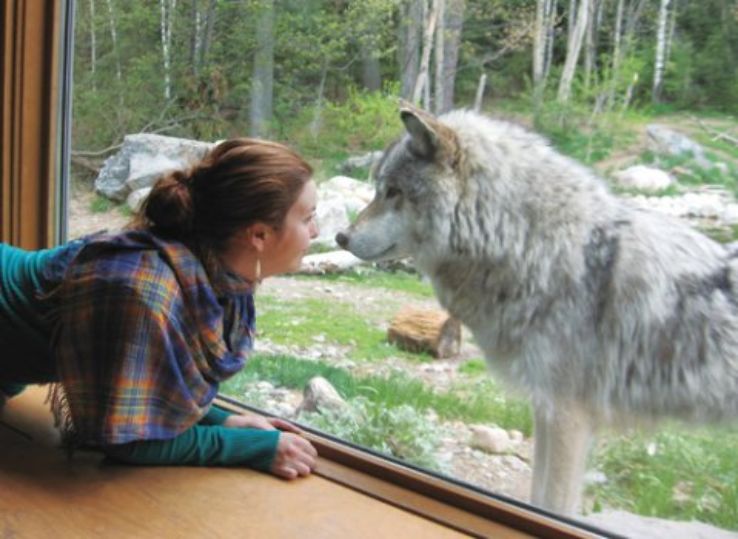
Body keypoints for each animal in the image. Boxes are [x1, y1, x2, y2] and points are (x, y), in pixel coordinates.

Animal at [335, 105, 738, 515]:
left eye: (392, 192)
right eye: (379, 189)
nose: (340, 236)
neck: (531, 245)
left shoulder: (566, 416)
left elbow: (553, 504)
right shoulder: (546, 409)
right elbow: (538, 495)